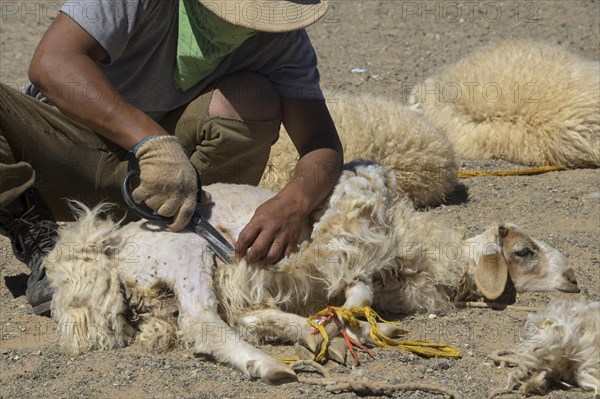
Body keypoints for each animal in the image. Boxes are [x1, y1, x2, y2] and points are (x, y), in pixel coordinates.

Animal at [44, 162, 580, 384]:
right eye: (525, 251)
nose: (574, 278)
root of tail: (109, 241)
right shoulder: (355, 246)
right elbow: (356, 292)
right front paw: (349, 326)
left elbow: (348, 306)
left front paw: (350, 329)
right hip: (187, 250)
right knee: (203, 323)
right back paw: (272, 365)